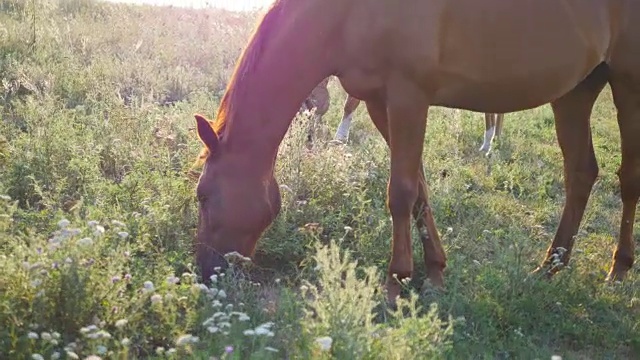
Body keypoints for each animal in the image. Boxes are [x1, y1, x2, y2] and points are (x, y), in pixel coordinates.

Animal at [304, 77, 504, 152]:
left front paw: (340, 138)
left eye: (310, 100)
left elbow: (350, 103)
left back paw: (487, 144)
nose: (309, 139)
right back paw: (495, 138)